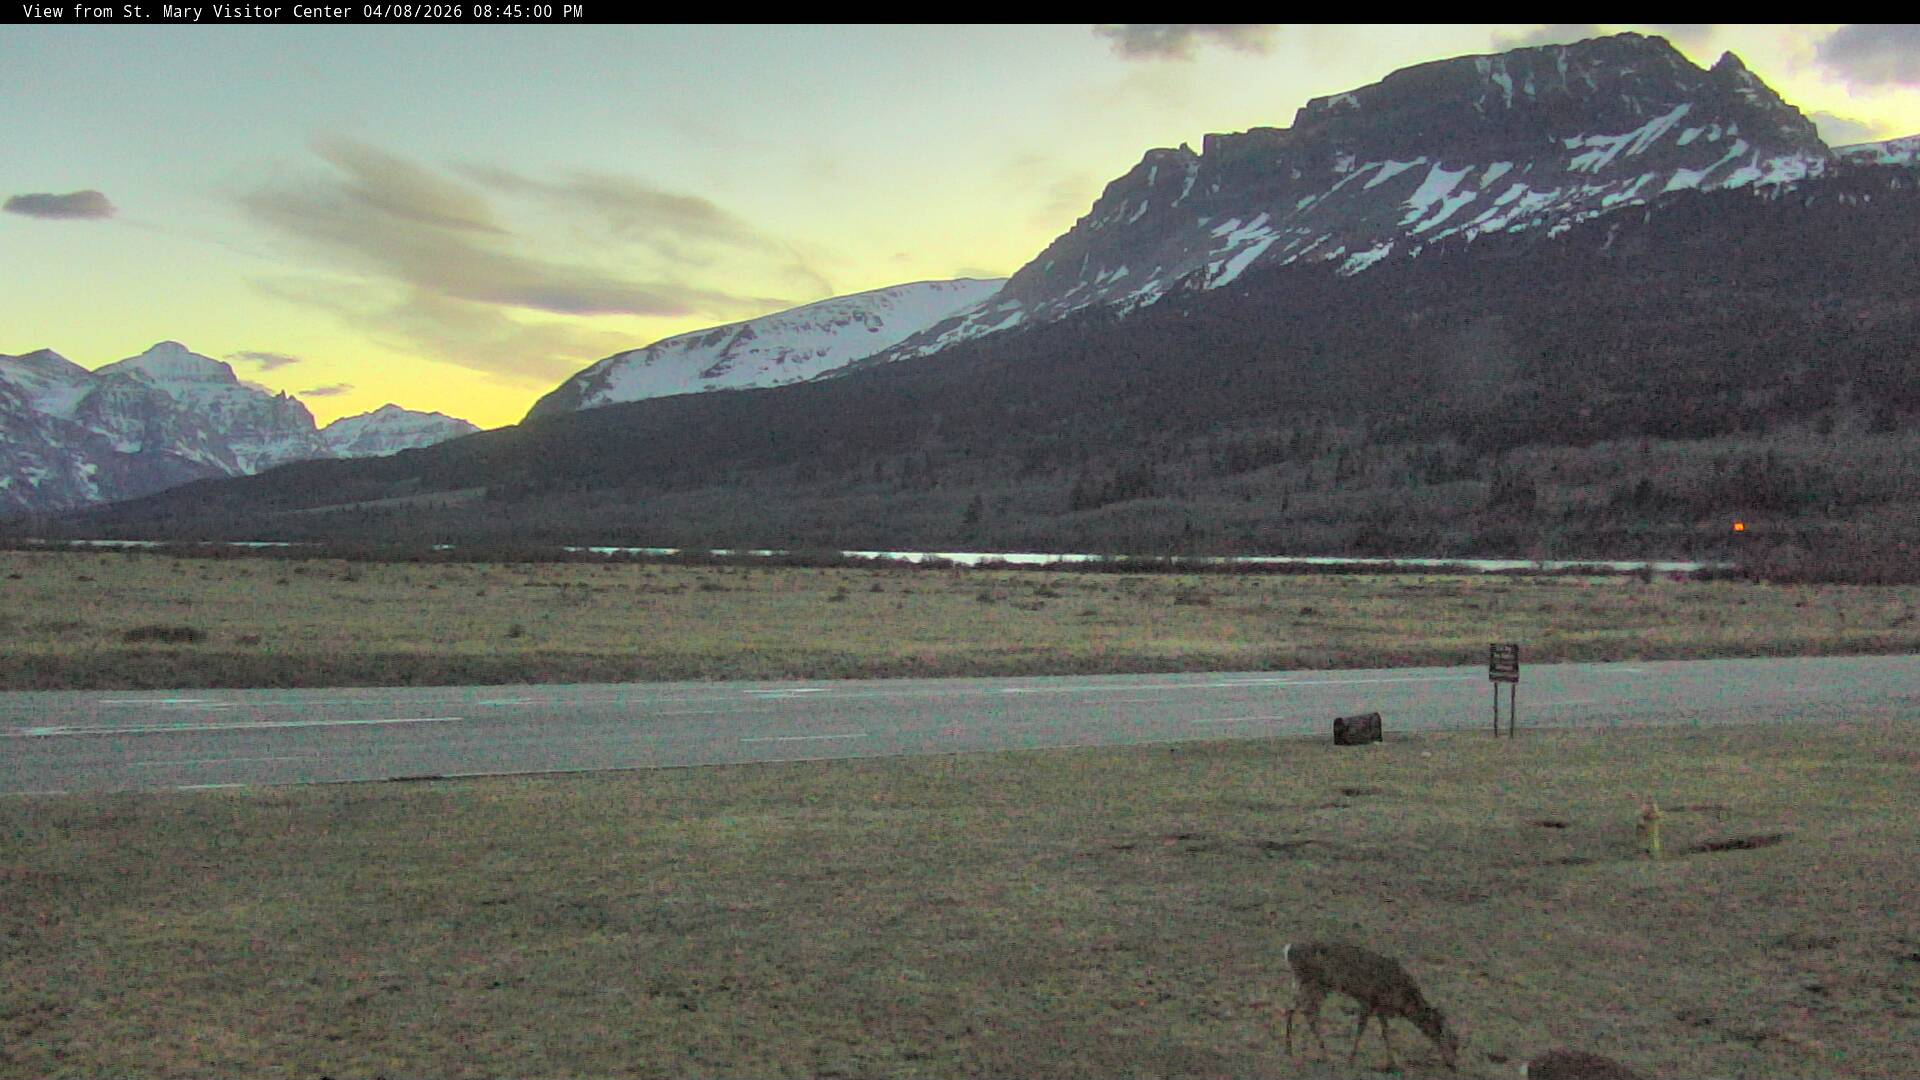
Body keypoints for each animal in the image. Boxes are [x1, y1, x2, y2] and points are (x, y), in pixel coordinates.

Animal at [1281, 939, 1461, 1071]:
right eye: (1453, 1043)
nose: (1453, 1065)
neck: (1403, 1000)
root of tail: (1289, 950)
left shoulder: (1379, 1007)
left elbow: (1385, 1032)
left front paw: (1391, 1063)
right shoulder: (1367, 1000)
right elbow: (1361, 1029)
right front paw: (1351, 1060)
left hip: (1305, 983)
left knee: (1292, 1009)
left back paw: (1290, 1050)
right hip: (1315, 983)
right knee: (1308, 1013)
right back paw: (1325, 1055)